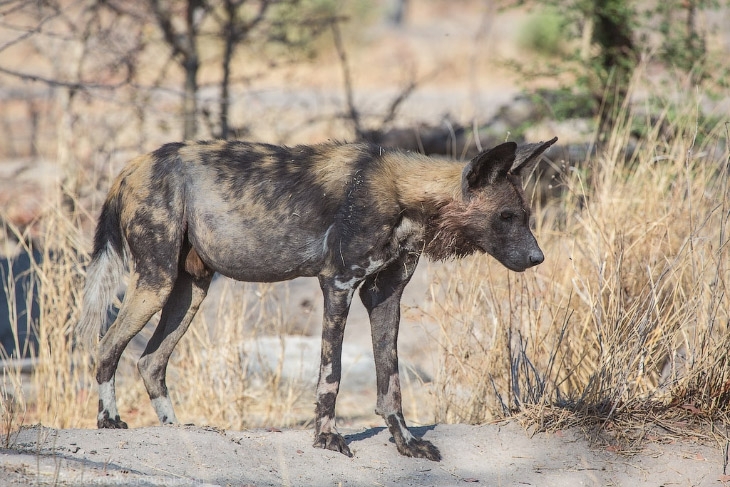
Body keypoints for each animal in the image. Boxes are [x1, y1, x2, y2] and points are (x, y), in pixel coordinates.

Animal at [77, 136, 556, 462]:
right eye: (505, 217)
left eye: (525, 217)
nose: (538, 258)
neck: (405, 196)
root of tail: (133, 165)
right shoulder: (338, 286)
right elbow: (332, 375)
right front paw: (327, 439)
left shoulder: (386, 296)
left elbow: (391, 384)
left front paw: (405, 443)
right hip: (155, 284)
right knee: (107, 345)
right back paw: (109, 421)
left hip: (190, 289)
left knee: (150, 361)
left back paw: (177, 431)